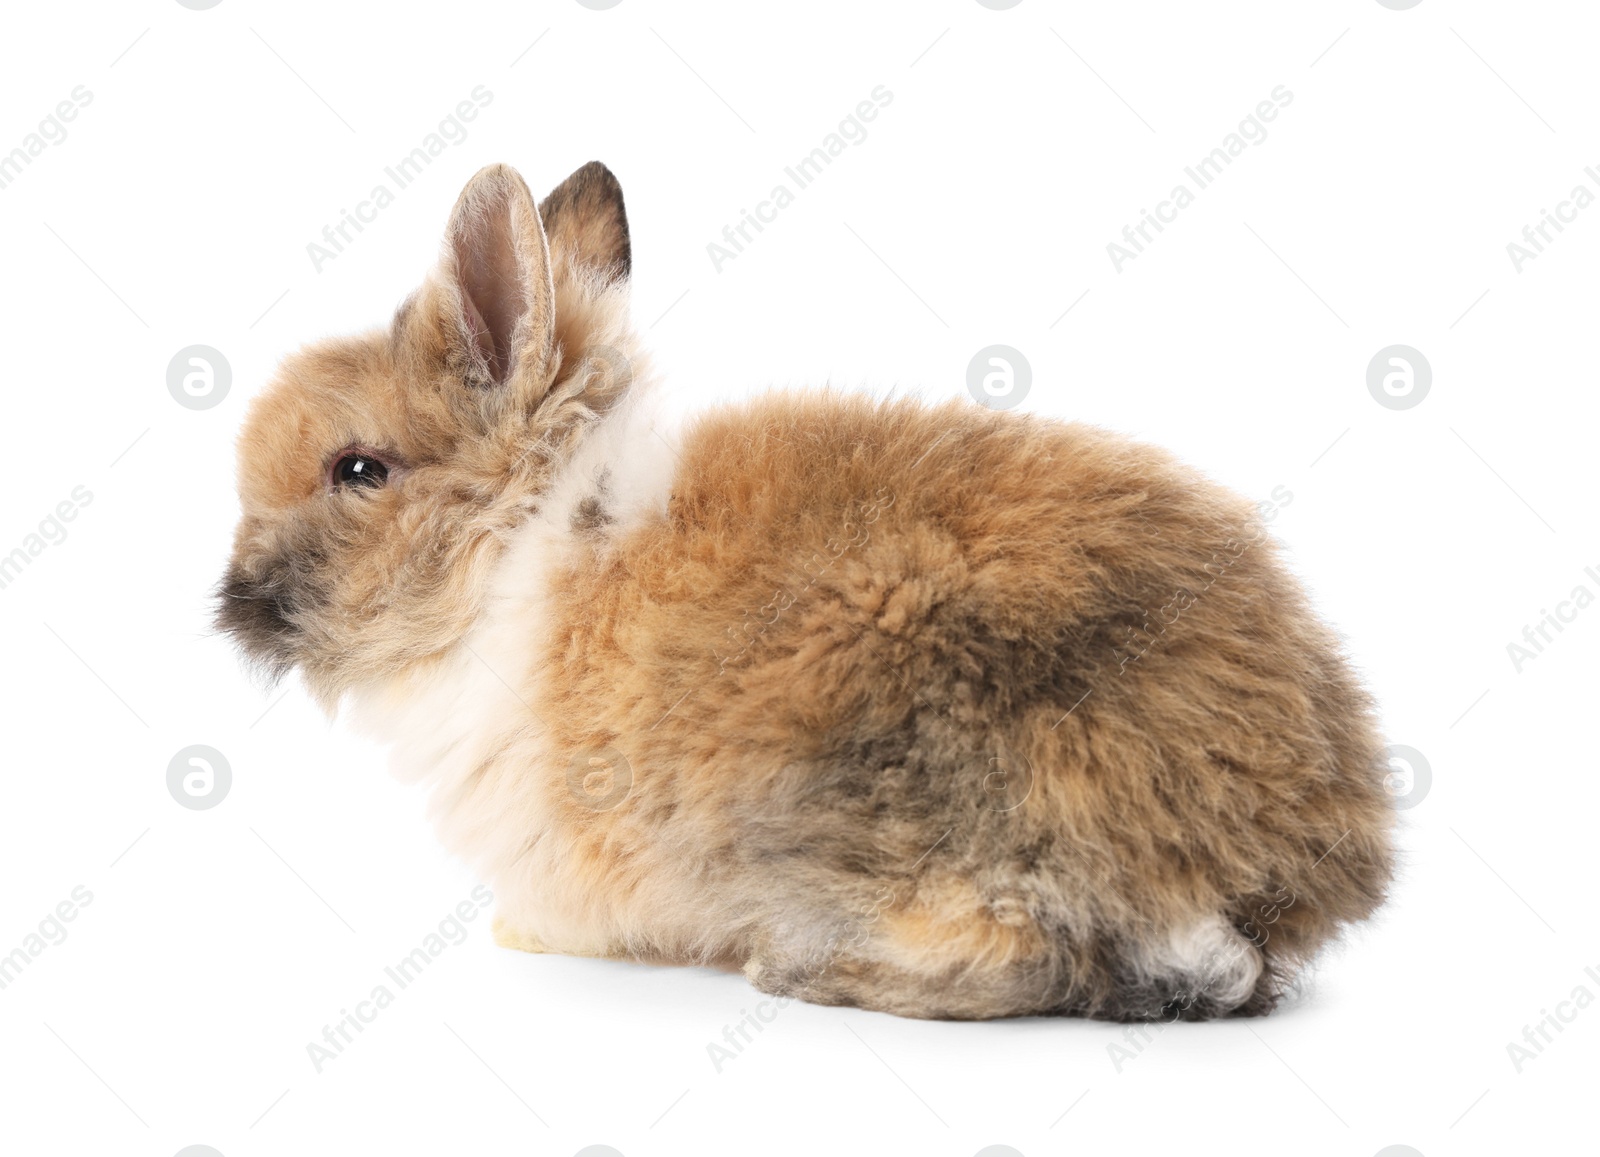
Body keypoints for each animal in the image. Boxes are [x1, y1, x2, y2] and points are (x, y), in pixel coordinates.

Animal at [219, 163, 1395, 1024]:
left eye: (358, 469)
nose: (230, 600)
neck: (517, 541)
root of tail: (1274, 863)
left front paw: (520, 933)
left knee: (1032, 957)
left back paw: (801, 967)